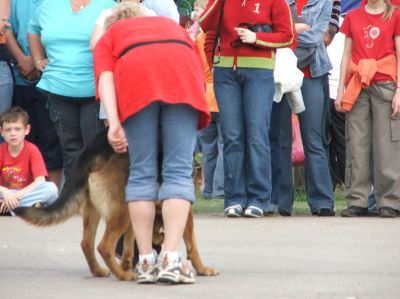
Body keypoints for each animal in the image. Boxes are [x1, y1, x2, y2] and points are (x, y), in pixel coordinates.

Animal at [14, 129, 219, 282]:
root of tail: (91, 150)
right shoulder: (185, 209)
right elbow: (192, 243)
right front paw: (202, 268)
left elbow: (129, 246)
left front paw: (129, 265)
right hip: (122, 210)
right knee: (104, 246)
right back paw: (123, 275)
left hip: (96, 209)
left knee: (87, 243)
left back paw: (102, 271)